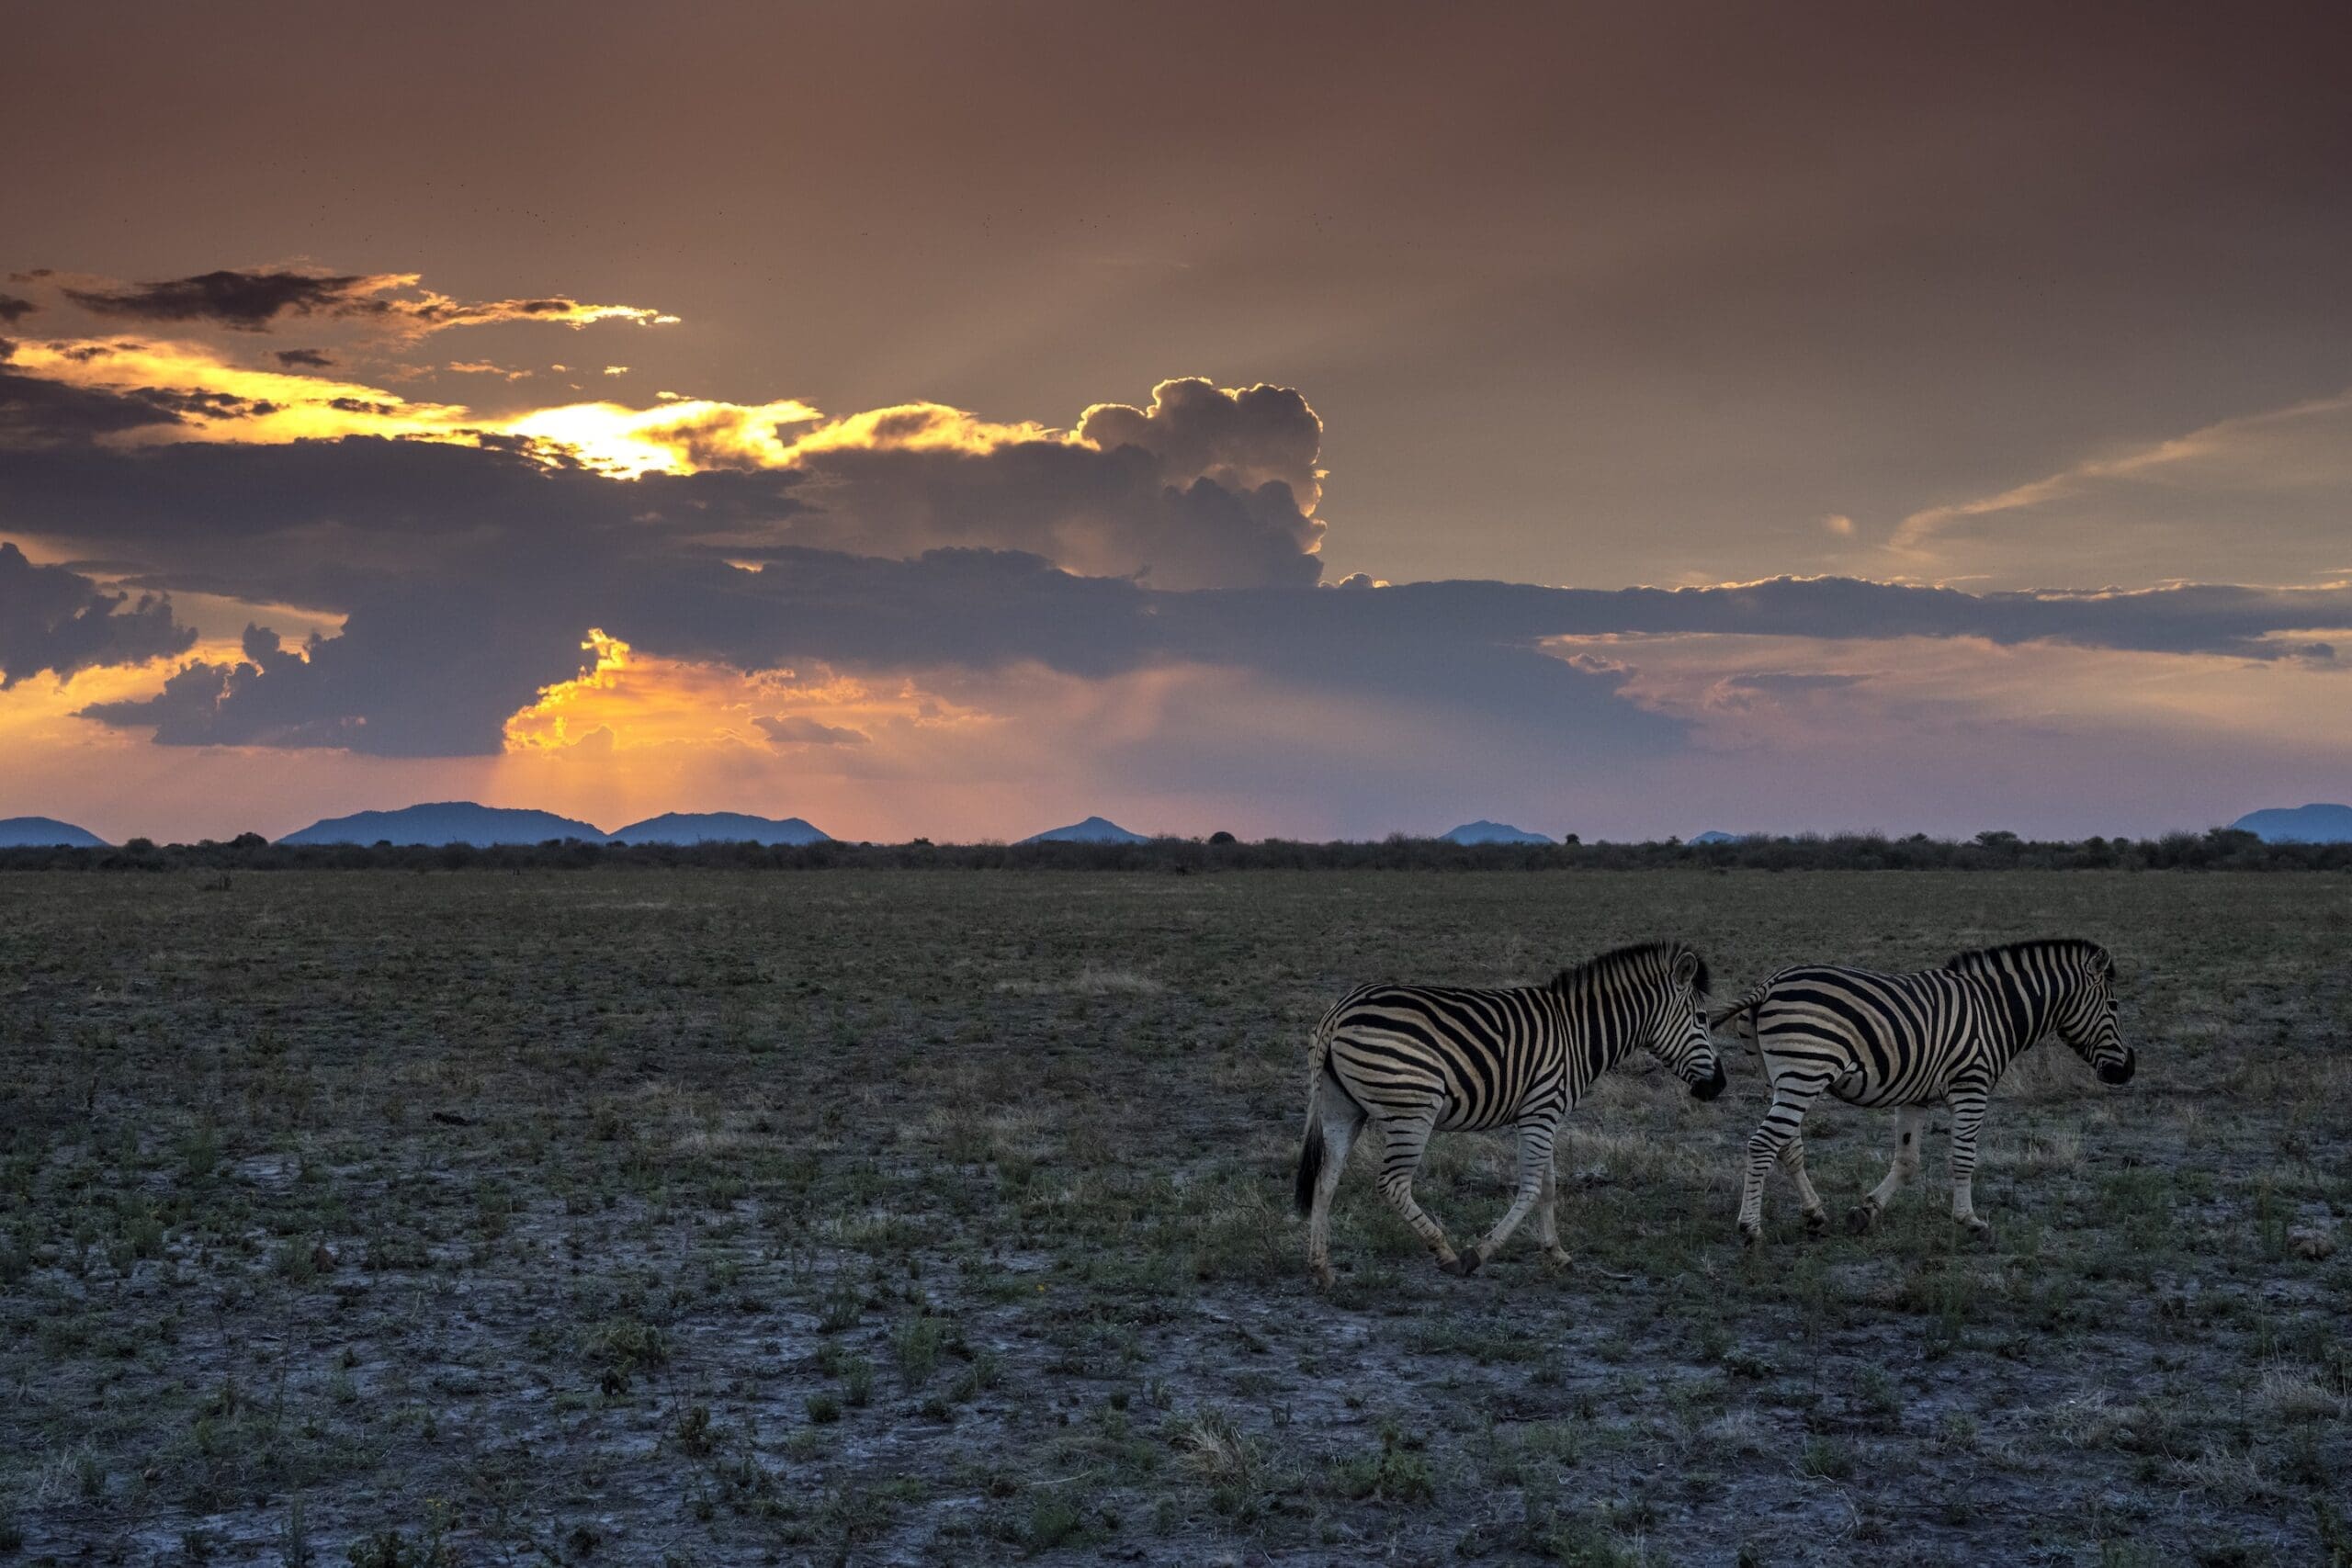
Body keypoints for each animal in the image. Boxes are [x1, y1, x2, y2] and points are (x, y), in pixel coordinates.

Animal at [1293, 940, 1725, 1288]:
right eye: (1703, 1019)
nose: (1719, 1086)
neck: (1578, 1035)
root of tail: (1337, 1012)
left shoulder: (1545, 1115)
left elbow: (1550, 1185)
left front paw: (1556, 1253)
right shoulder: (1541, 1111)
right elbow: (1532, 1187)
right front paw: (1479, 1253)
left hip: (1342, 1110)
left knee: (1325, 1181)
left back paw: (1321, 1268)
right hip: (1413, 1109)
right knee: (1392, 1184)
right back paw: (1446, 1253)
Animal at [1712, 937, 2136, 1247]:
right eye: (2114, 1006)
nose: (2128, 1069)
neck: (1996, 1009)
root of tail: (1769, 983)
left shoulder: (1913, 1095)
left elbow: (1907, 1162)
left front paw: (1867, 1211)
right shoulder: (1971, 1086)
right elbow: (1964, 1159)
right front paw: (1969, 1221)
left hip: (1780, 1077)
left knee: (1788, 1145)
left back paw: (1815, 1214)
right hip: (1805, 1072)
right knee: (1763, 1143)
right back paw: (1750, 1228)